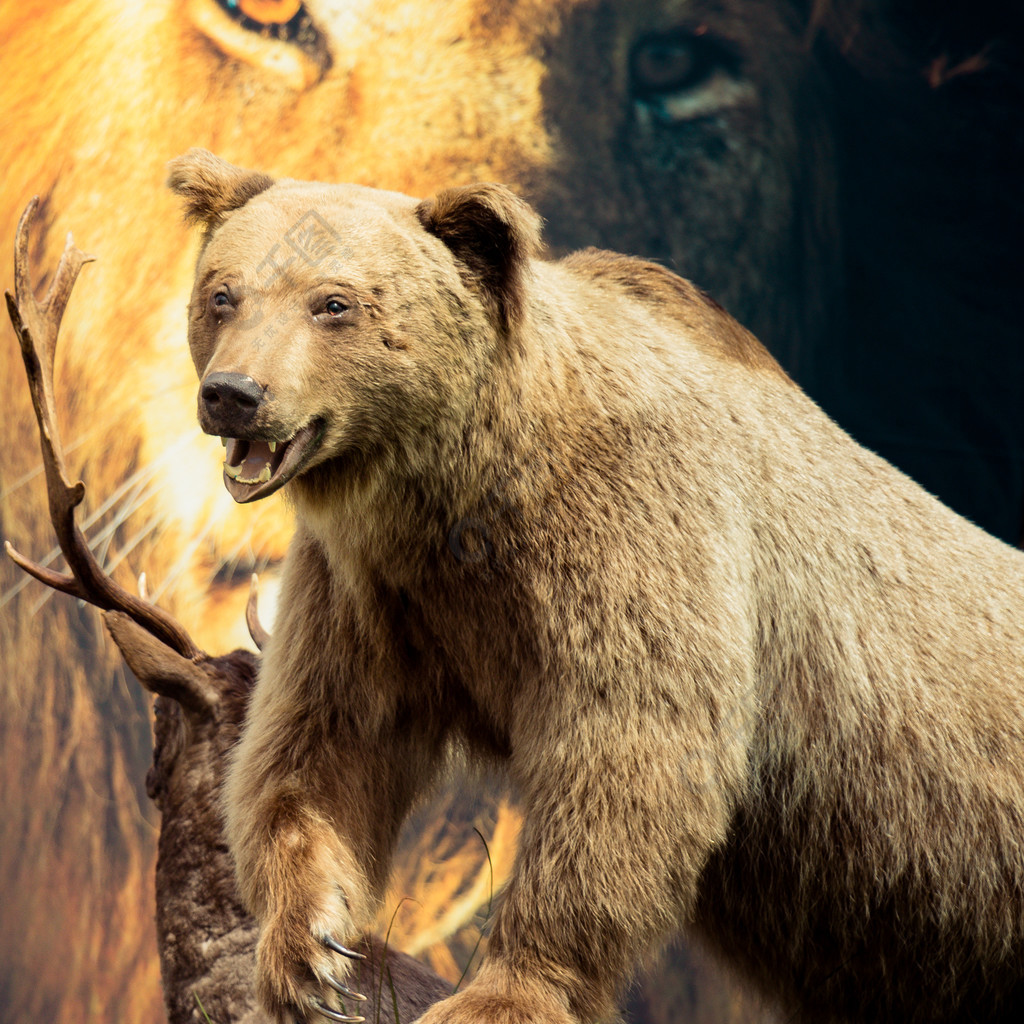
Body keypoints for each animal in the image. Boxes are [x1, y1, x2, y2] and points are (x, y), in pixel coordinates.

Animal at [165, 149, 1024, 1024]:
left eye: (333, 302)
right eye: (223, 293)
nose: (234, 393)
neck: (459, 490)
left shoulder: (636, 539)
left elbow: (624, 754)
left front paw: (498, 993)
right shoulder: (370, 593)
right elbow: (318, 743)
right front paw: (310, 957)